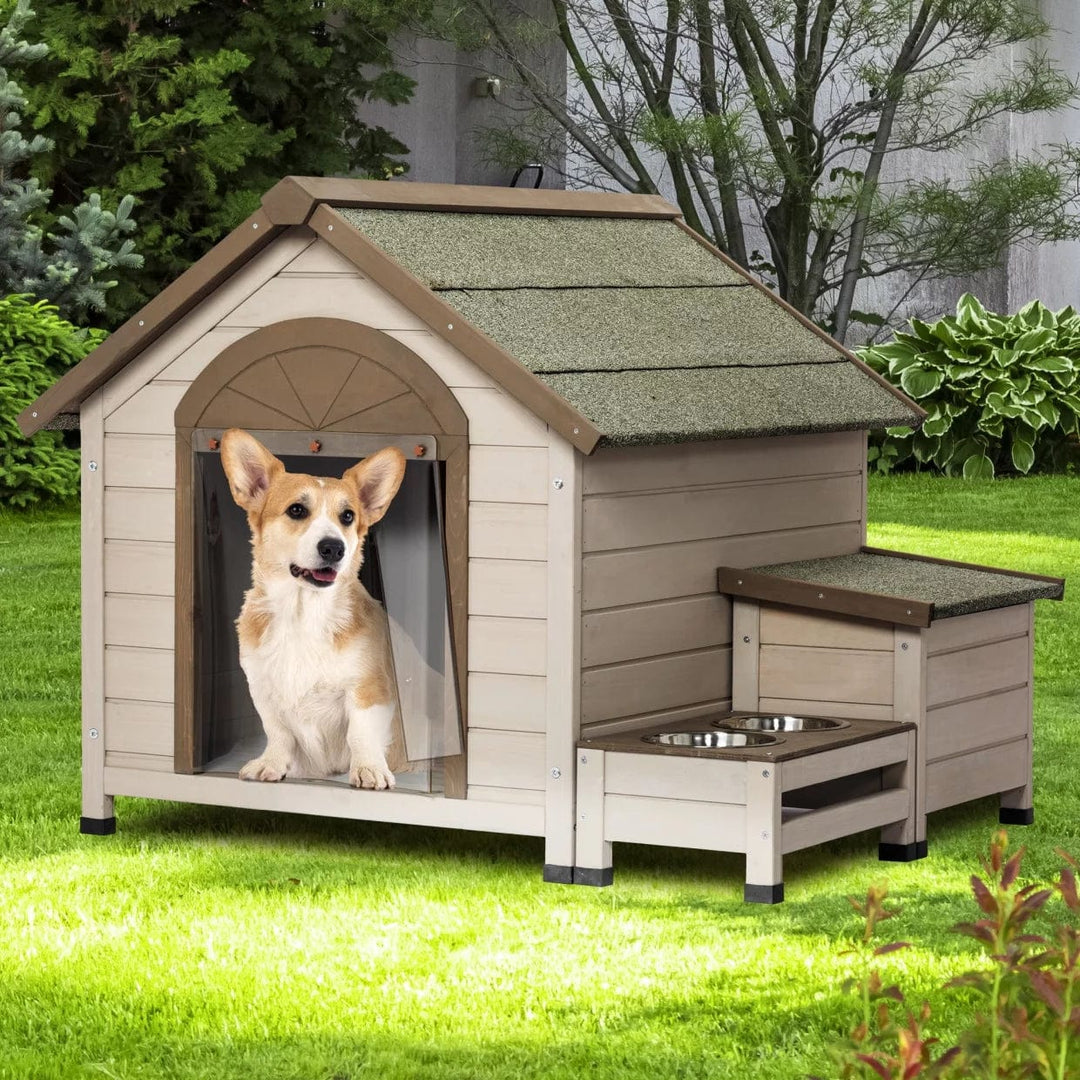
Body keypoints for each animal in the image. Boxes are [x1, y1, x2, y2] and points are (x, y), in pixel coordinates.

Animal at [221, 425, 406, 790]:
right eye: (296, 510)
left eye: (347, 516)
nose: (334, 548)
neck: (302, 612)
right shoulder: (263, 691)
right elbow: (278, 732)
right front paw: (271, 764)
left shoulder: (369, 689)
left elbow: (360, 732)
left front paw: (368, 769)